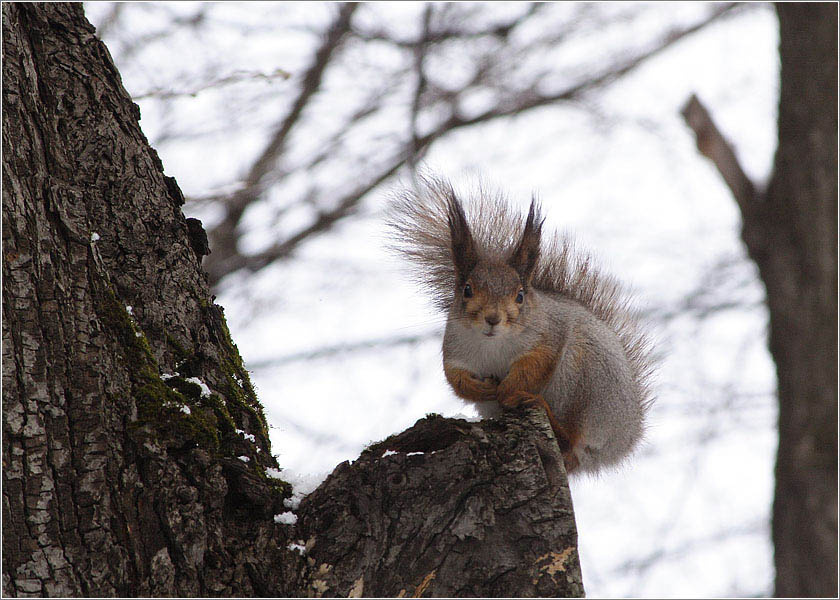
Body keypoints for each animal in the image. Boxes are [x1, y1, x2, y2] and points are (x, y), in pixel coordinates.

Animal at [387, 177, 654, 475]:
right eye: (467, 290)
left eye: (520, 295)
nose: (493, 318)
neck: (494, 342)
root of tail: (625, 438)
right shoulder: (455, 349)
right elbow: (455, 378)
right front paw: (482, 389)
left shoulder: (549, 334)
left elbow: (535, 365)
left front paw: (506, 390)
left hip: (587, 381)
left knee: (572, 440)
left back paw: (540, 407)